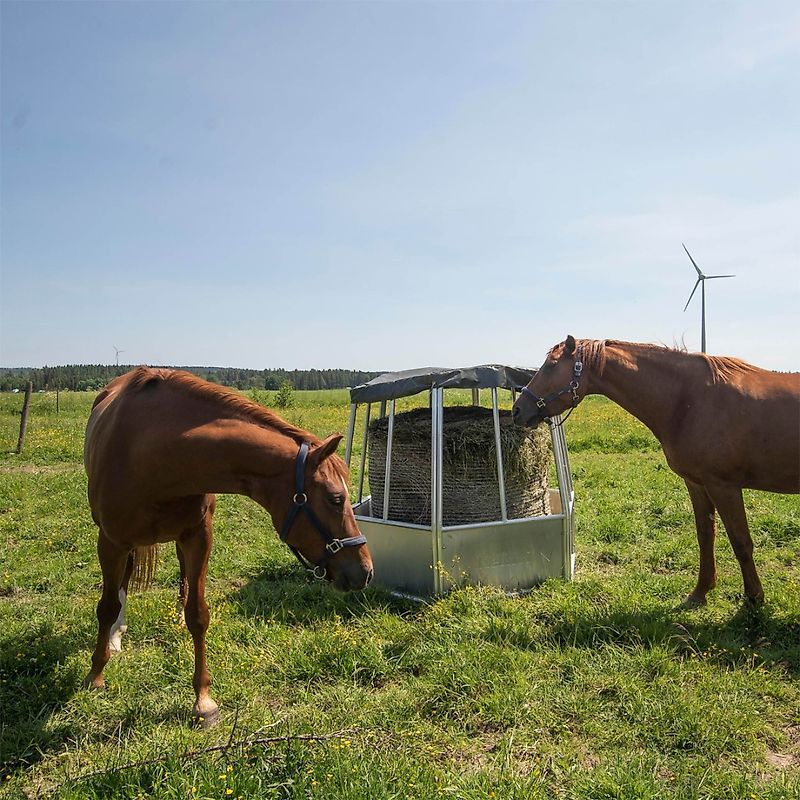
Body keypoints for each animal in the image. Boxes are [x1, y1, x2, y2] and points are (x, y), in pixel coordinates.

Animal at [84, 366, 372, 728]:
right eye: (336, 499)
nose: (365, 571)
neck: (152, 454)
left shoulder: (199, 537)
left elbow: (198, 614)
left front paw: (203, 701)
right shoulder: (110, 541)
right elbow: (106, 607)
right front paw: (96, 674)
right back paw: (115, 636)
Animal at [512, 336, 800, 608]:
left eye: (551, 365)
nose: (517, 410)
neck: (690, 400)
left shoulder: (724, 486)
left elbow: (741, 541)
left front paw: (754, 598)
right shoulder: (697, 484)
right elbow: (705, 537)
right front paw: (700, 592)